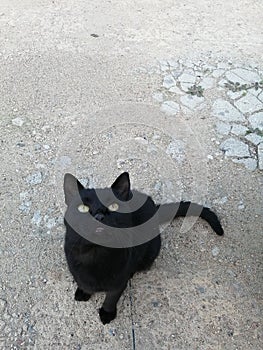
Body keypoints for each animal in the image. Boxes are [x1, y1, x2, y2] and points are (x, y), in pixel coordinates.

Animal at [63, 171, 224, 324]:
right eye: (83, 208)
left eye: (114, 206)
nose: (99, 217)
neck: (96, 253)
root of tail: (154, 209)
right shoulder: (76, 270)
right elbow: (83, 282)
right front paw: (83, 292)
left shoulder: (119, 281)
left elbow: (111, 298)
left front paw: (107, 313)